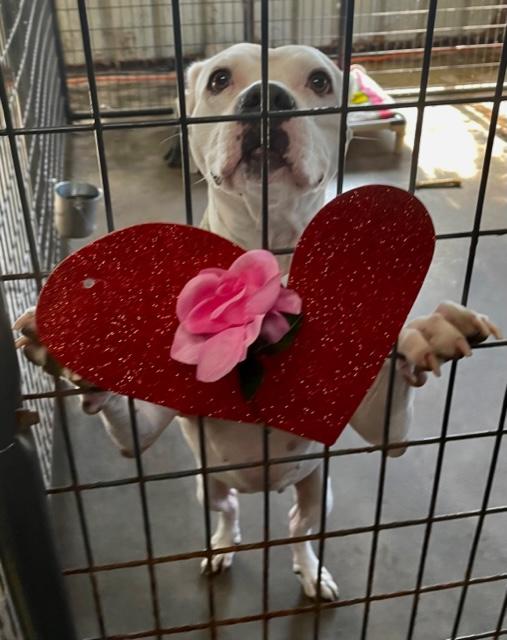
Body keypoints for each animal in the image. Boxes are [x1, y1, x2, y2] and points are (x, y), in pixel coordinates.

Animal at [13, 43, 502, 600]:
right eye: (220, 79)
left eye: (319, 80)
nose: (266, 96)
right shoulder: (139, 432)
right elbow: (121, 412)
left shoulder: (387, 430)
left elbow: (395, 402)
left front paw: (423, 335)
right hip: (208, 487)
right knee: (229, 514)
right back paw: (222, 547)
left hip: (317, 492)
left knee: (297, 529)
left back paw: (309, 570)